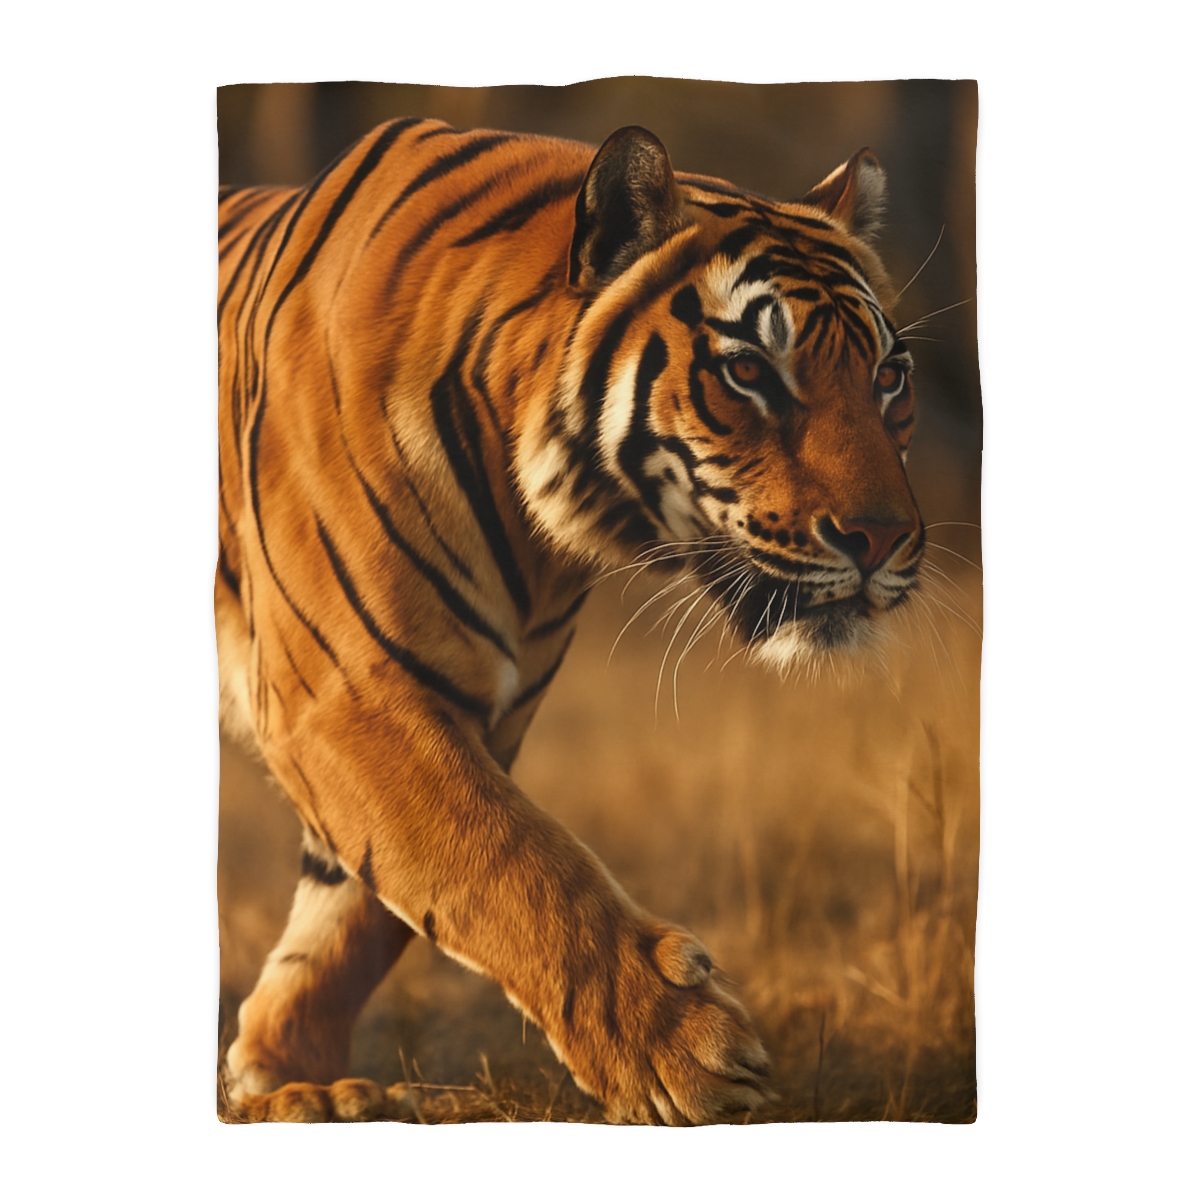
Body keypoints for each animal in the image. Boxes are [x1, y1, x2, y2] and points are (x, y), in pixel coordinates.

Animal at [216, 117, 923, 1125]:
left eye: (889, 376)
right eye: (749, 371)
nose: (886, 539)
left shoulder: (471, 706)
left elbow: (355, 910)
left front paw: (289, 1082)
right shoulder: (346, 692)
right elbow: (509, 861)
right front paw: (682, 1052)